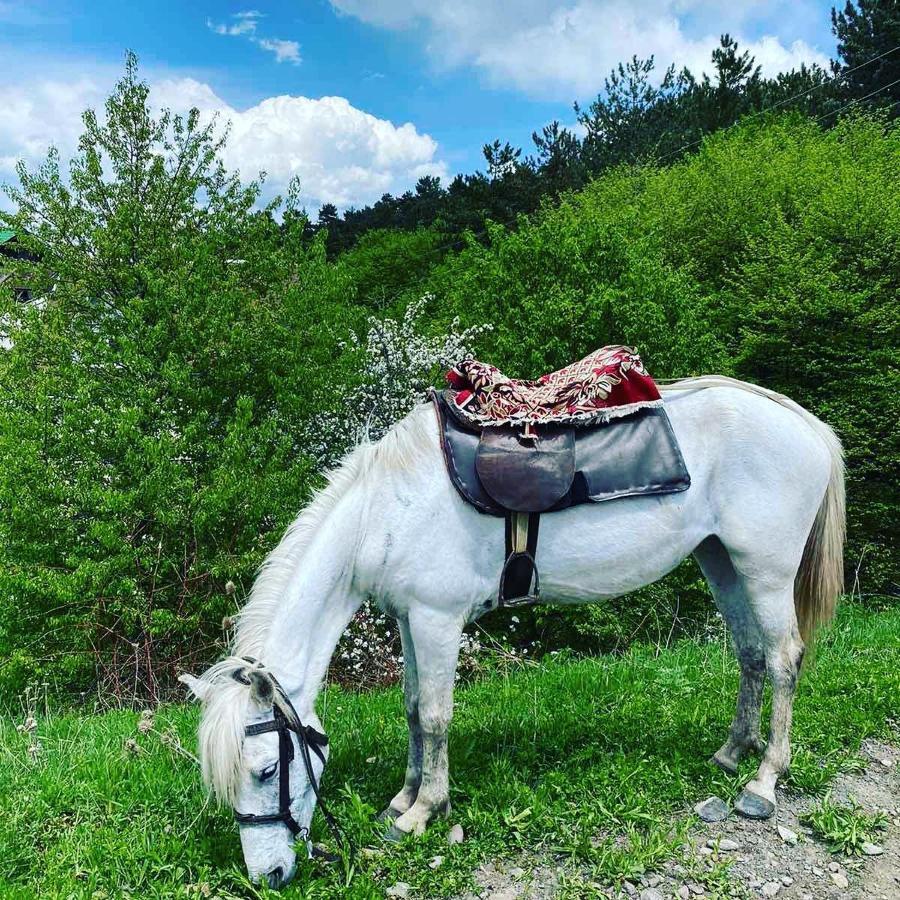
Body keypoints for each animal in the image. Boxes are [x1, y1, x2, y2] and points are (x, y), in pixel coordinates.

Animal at [181, 376, 844, 888]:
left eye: (266, 771)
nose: (268, 875)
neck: (386, 512)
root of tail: (808, 426)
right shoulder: (412, 620)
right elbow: (412, 707)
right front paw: (404, 799)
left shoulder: (437, 619)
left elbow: (433, 716)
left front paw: (422, 812)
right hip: (721, 561)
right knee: (749, 653)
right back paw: (733, 753)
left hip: (765, 570)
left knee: (783, 658)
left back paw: (763, 783)